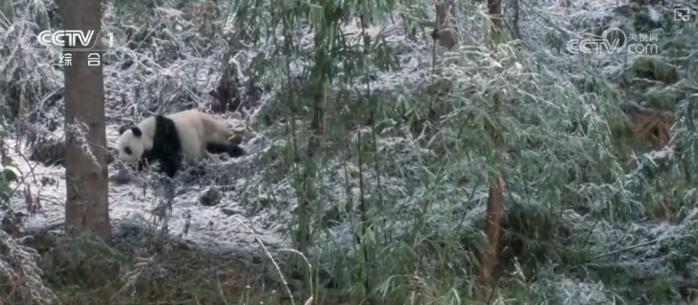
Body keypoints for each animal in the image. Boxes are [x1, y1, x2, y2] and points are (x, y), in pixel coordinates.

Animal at [115, 108, 243, 176]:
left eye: (127, 149)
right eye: (119, 149)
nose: (121, 159)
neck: (148, 132)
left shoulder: (165, 136)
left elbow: (172, 156)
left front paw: (166, 173)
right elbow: (146, 157)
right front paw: (138, 169)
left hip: (208, 135)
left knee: (218, 146)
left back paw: (237, 151)